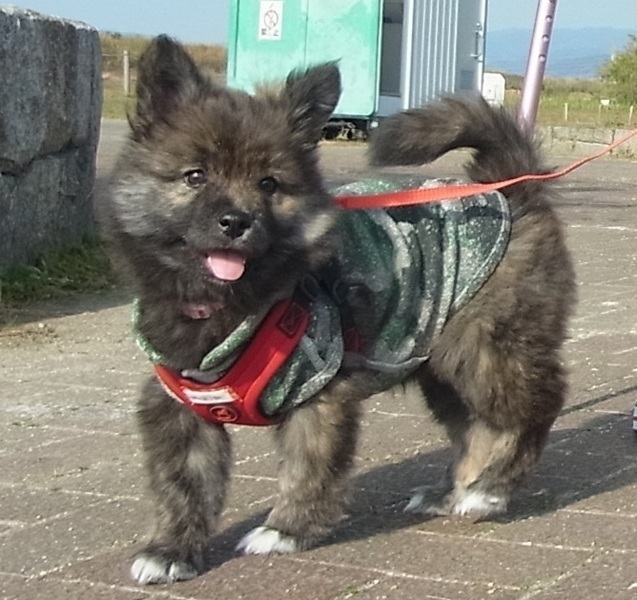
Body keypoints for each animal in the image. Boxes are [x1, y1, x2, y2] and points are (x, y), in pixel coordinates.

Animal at [102, 36, 576, 584]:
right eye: (194, 176)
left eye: (268, 184)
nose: (235, 221)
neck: (234, 306)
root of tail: (506, 188)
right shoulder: (180, 408)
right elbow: (182, 485)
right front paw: (171, 549)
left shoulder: (318, 391)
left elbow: (308, 469)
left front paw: (286, 529)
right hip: (444, 364)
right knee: (477, 426)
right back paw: (458, 492)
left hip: (486, 348)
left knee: (536, 405)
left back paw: (492, 487)